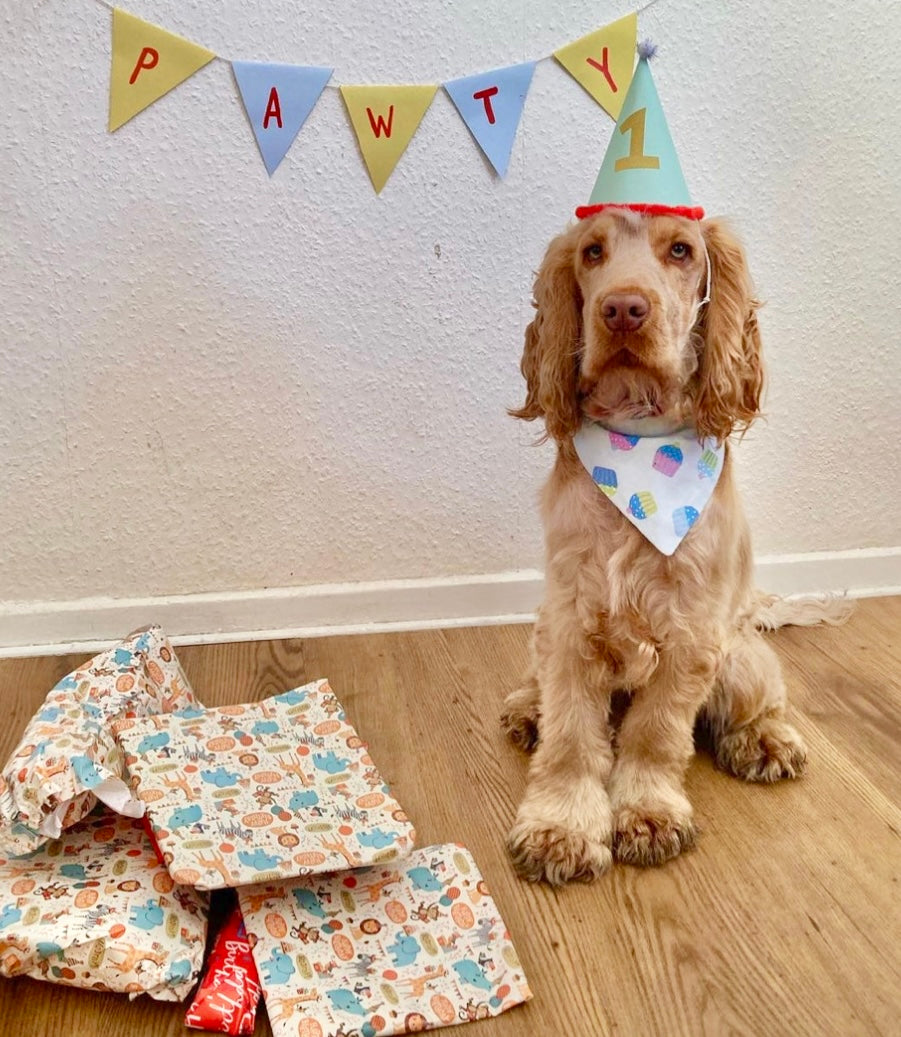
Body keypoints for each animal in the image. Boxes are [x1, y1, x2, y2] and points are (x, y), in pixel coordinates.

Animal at [499, 208, 841, 883]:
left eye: (681, 250)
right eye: (593, 252)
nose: (623, 309)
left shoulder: (691, 635)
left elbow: (655, 733)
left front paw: (648, 815)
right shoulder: (570, 619)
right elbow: (572, 734)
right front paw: (561, 829)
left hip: (741, 656)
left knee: (760, 700)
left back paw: (766, 741)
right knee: (538, 684)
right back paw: (528, 709)